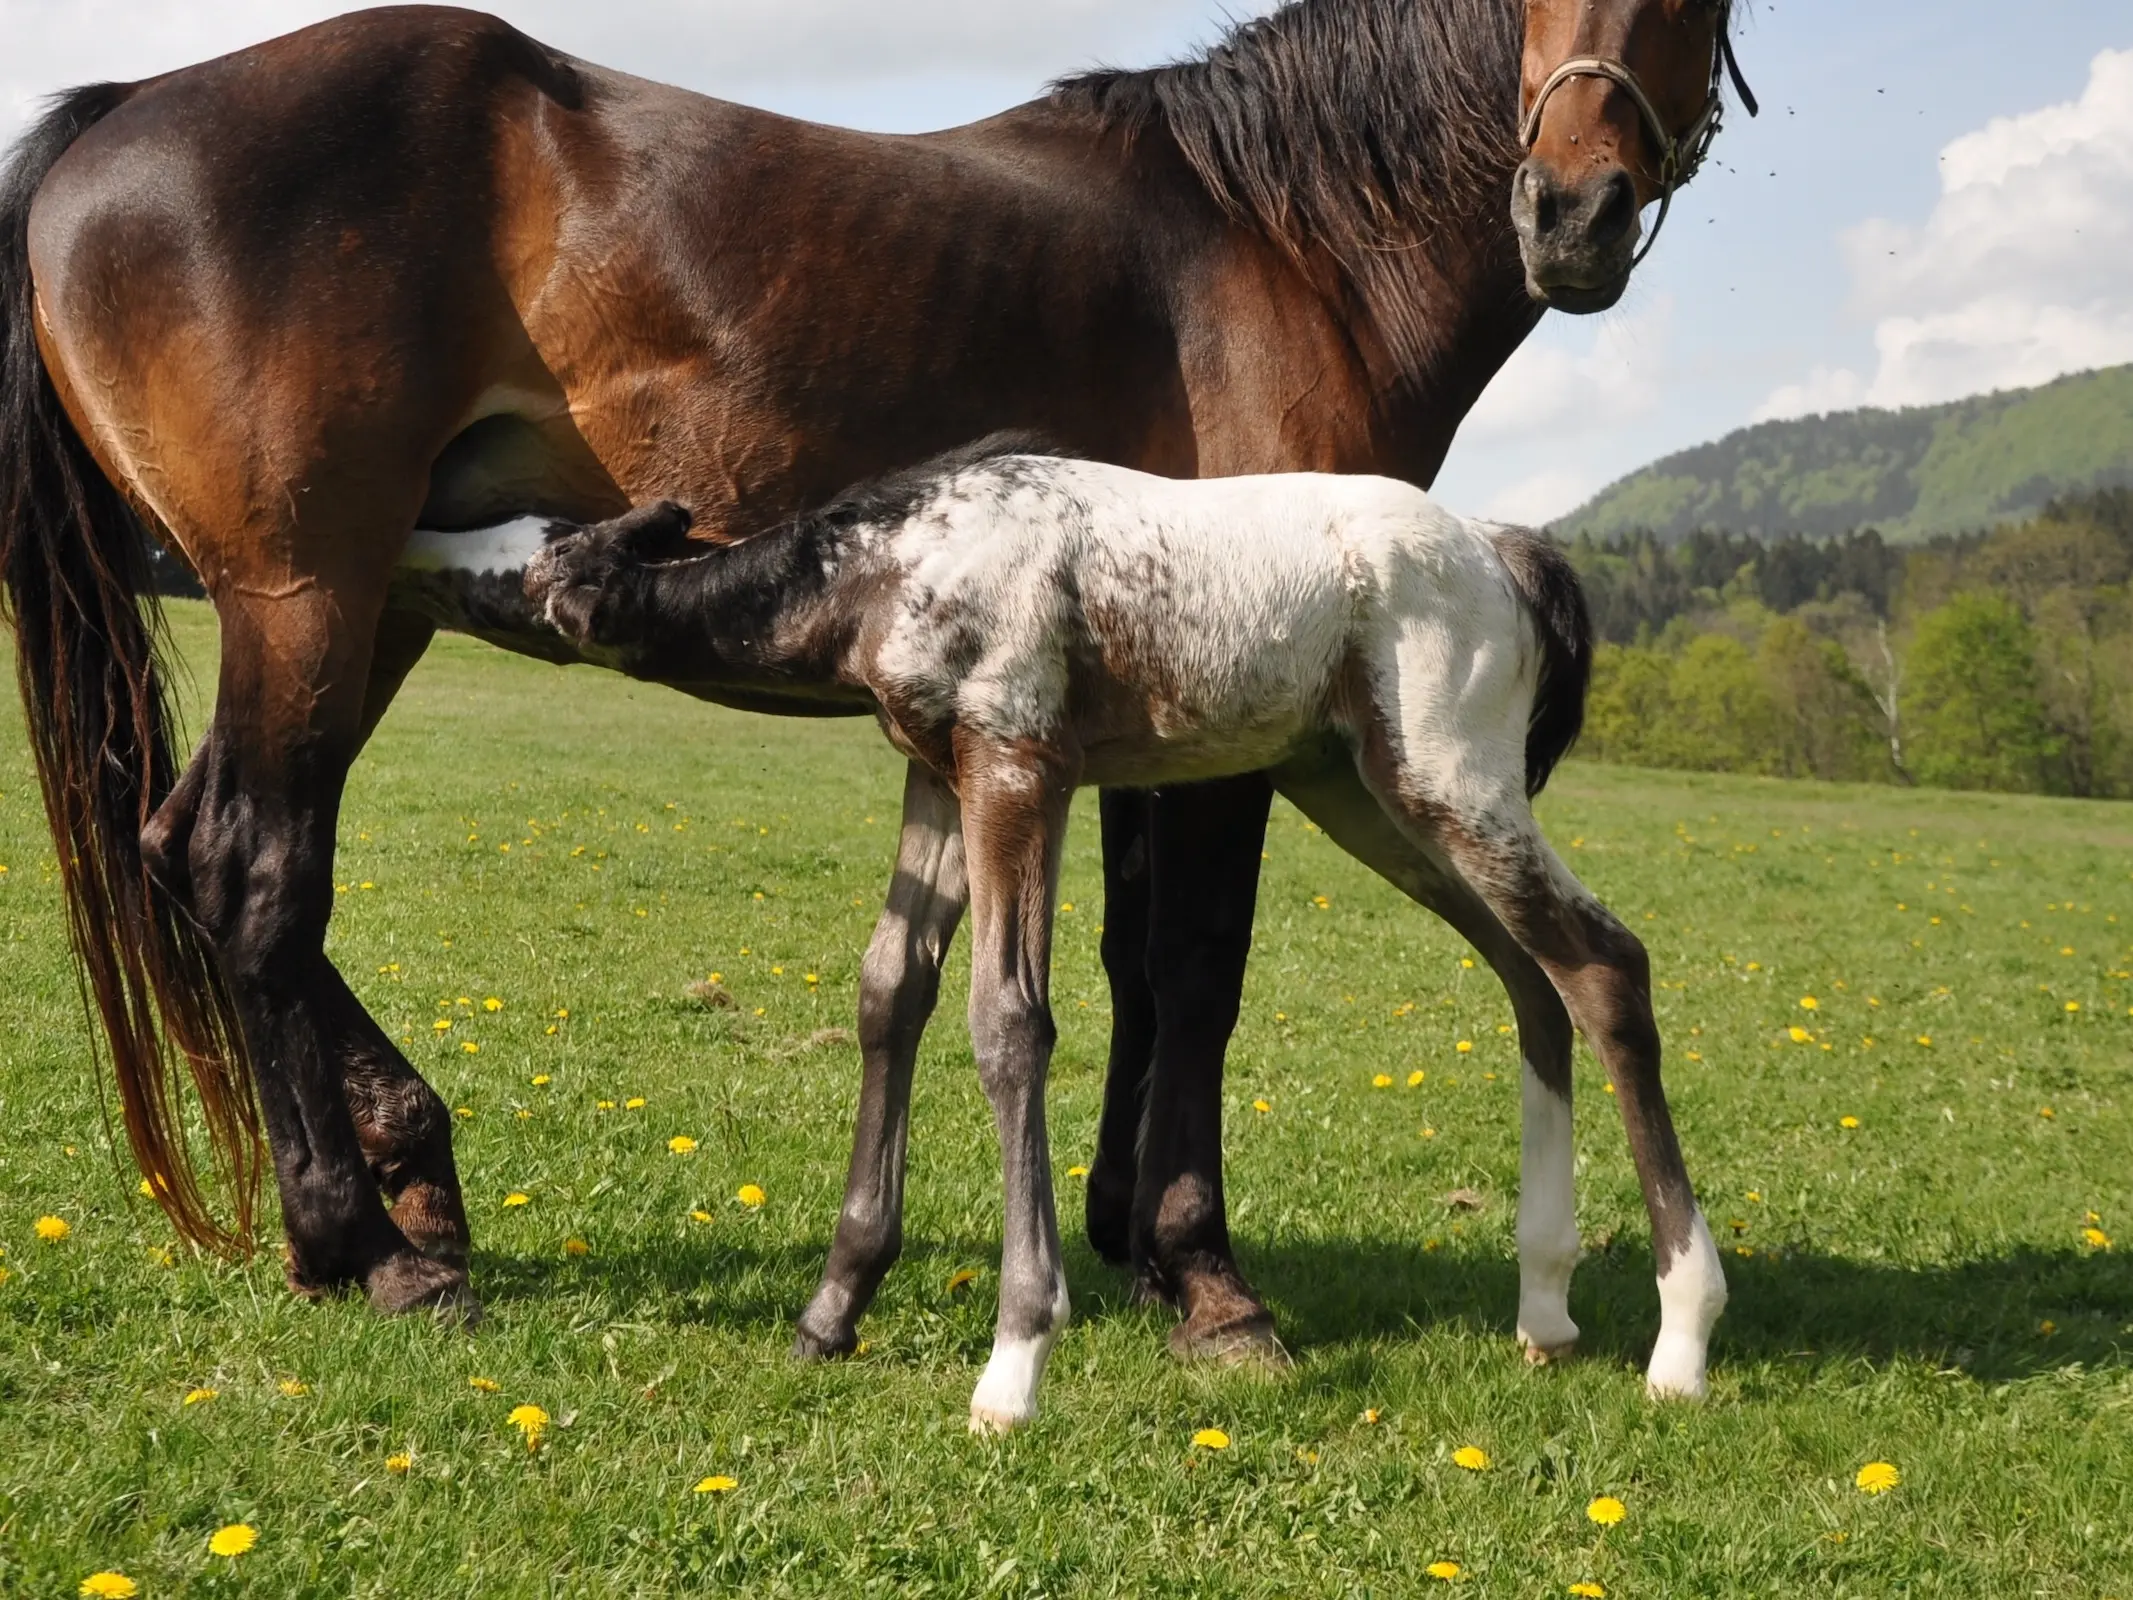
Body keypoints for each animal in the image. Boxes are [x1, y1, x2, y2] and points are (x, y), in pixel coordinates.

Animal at [524, 435, 1723, 1425]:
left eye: (558, 571)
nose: (522, 603)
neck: (900, 556)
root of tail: (1500, 547)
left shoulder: (1018, 766)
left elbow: (1010, 1022)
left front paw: (1013, 1363)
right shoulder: (937, 774)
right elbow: (889, 991)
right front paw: (831, 1310)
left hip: (1448, 786)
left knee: (1604, 964)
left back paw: (1681, 1339)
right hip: (1362, 792)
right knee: (1535, 978)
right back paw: (1546, 1307)